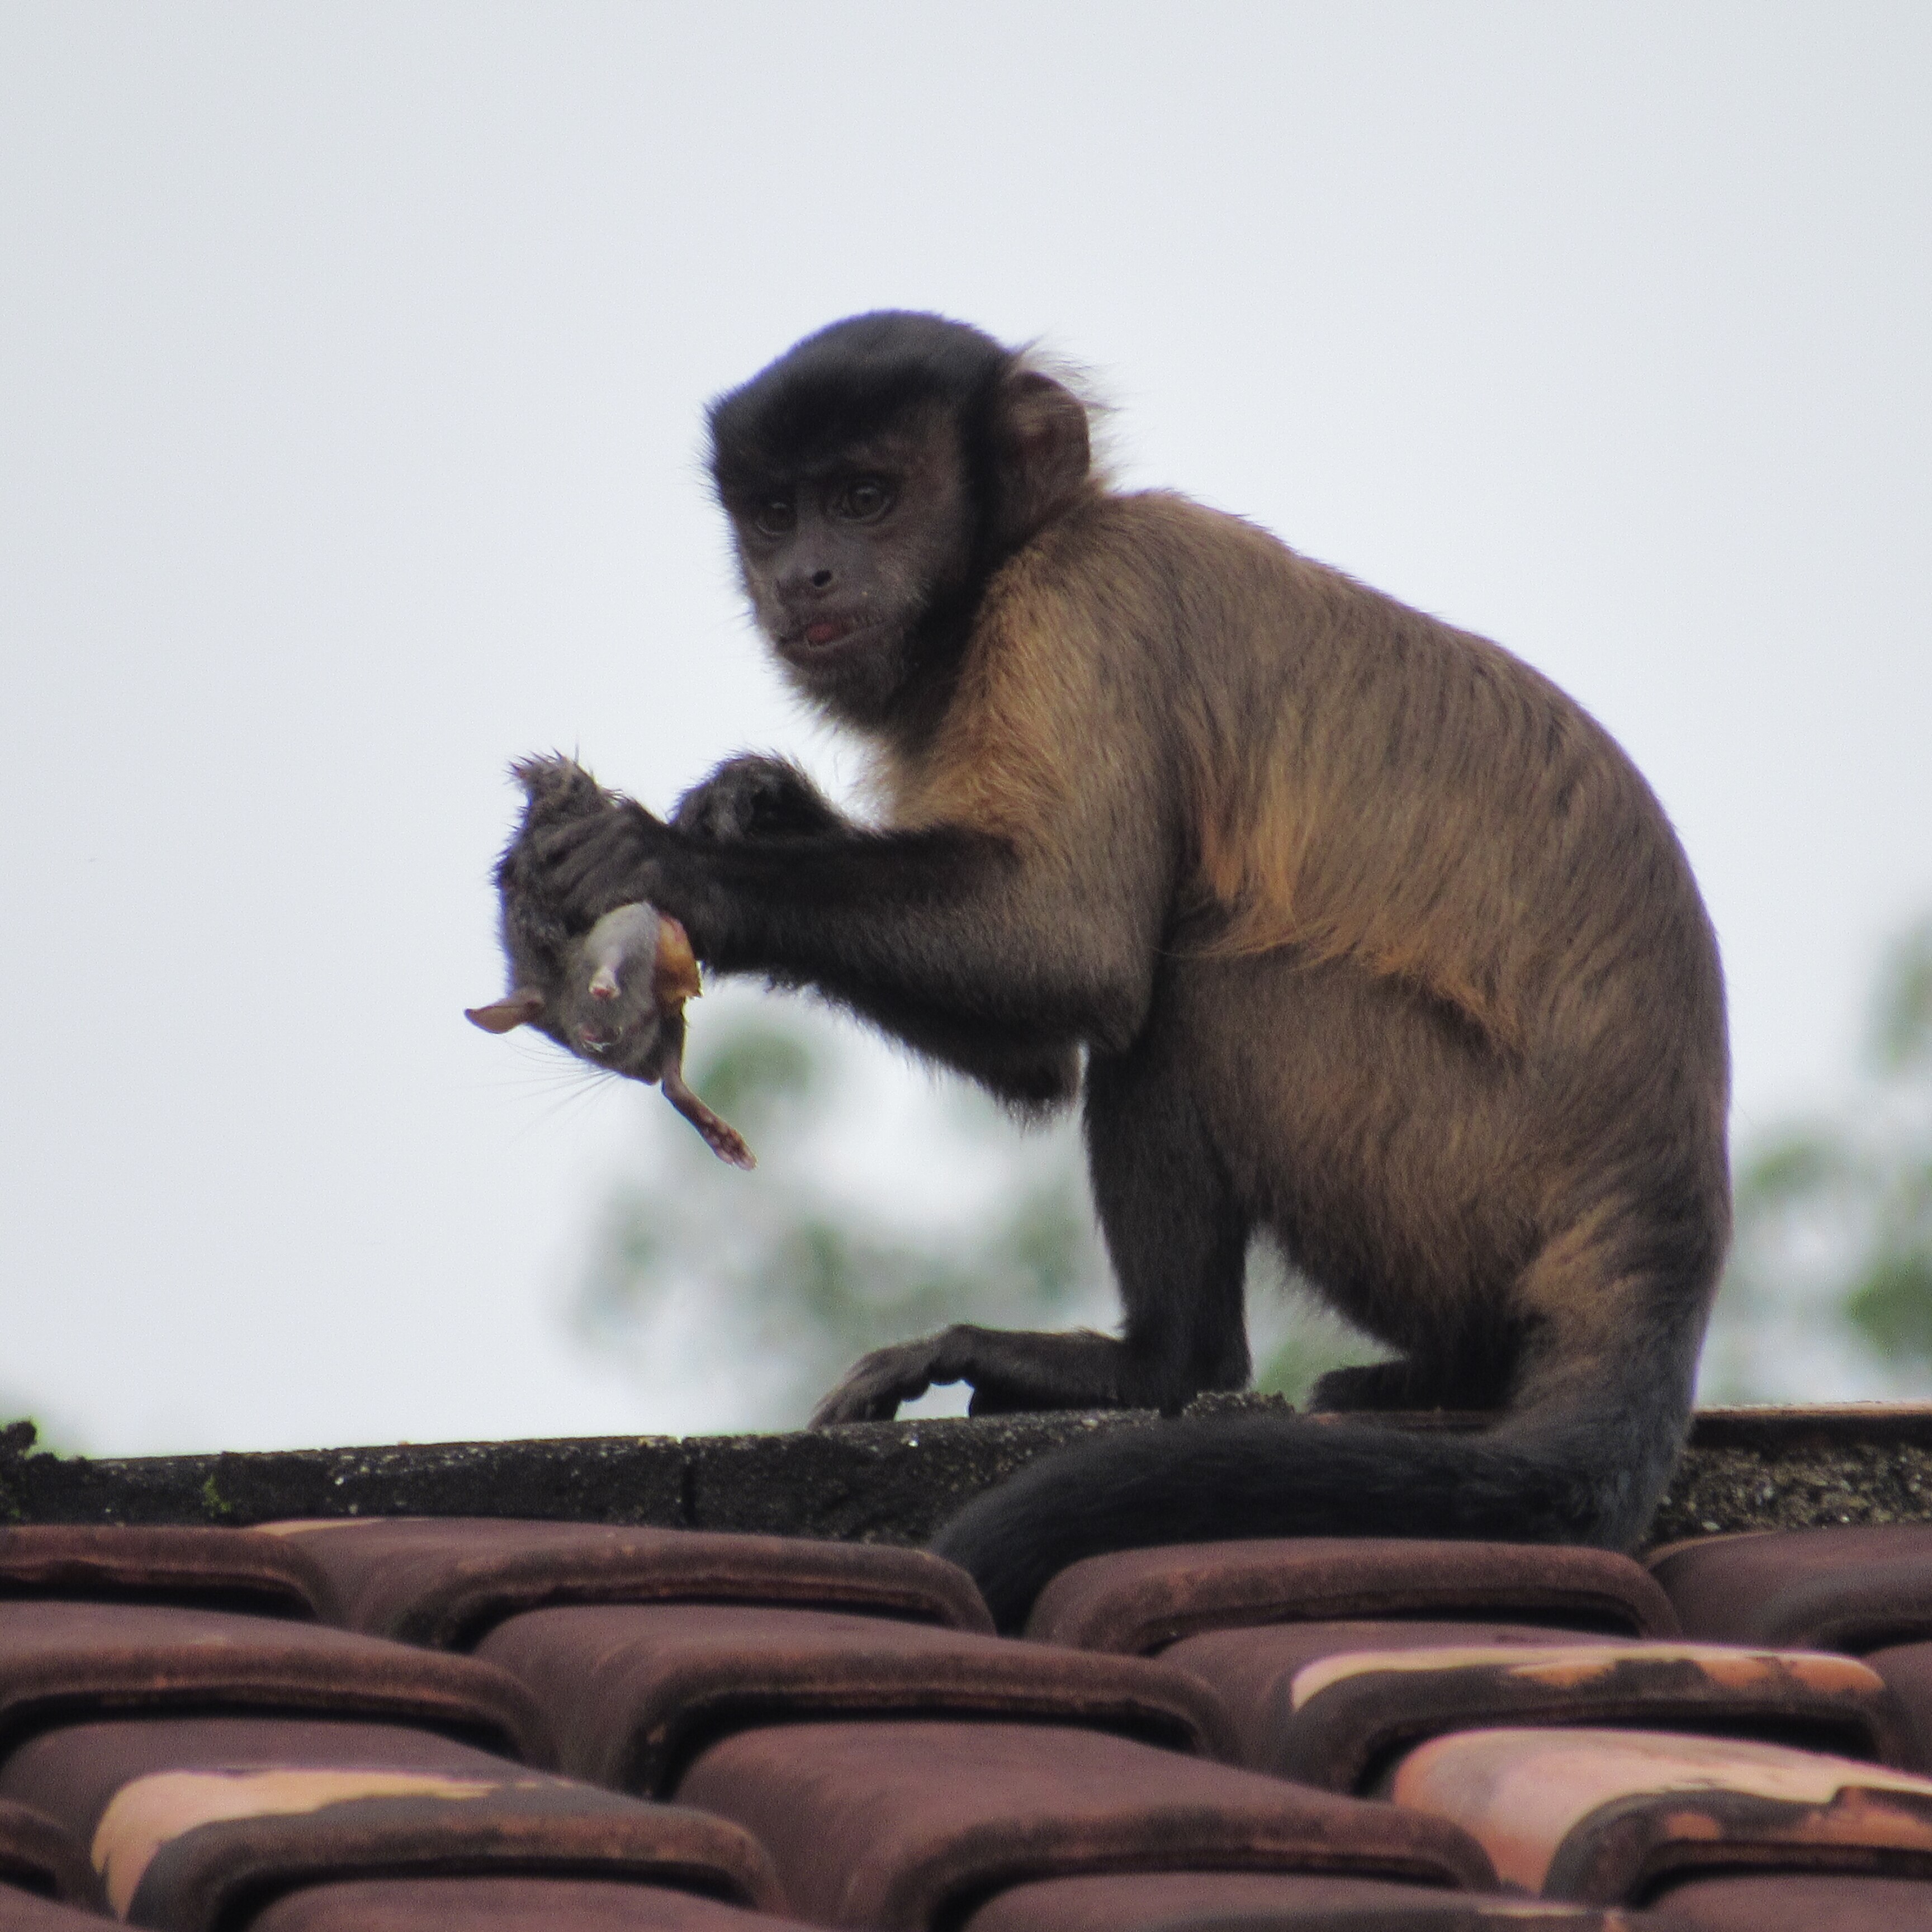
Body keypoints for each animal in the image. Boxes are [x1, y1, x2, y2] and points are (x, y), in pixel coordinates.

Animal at [512, 310, 1731, 1631]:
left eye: (867, 498)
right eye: (778, 513)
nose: (807, 577)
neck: (1018, 561)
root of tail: (1668, 1201)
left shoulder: (1077, 610)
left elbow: (1075, 951)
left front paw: (678, 869)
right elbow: (1036, 1043)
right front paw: (758, 808)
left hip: (1452, 1167)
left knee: (1200, 976)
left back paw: (1159, 1366)